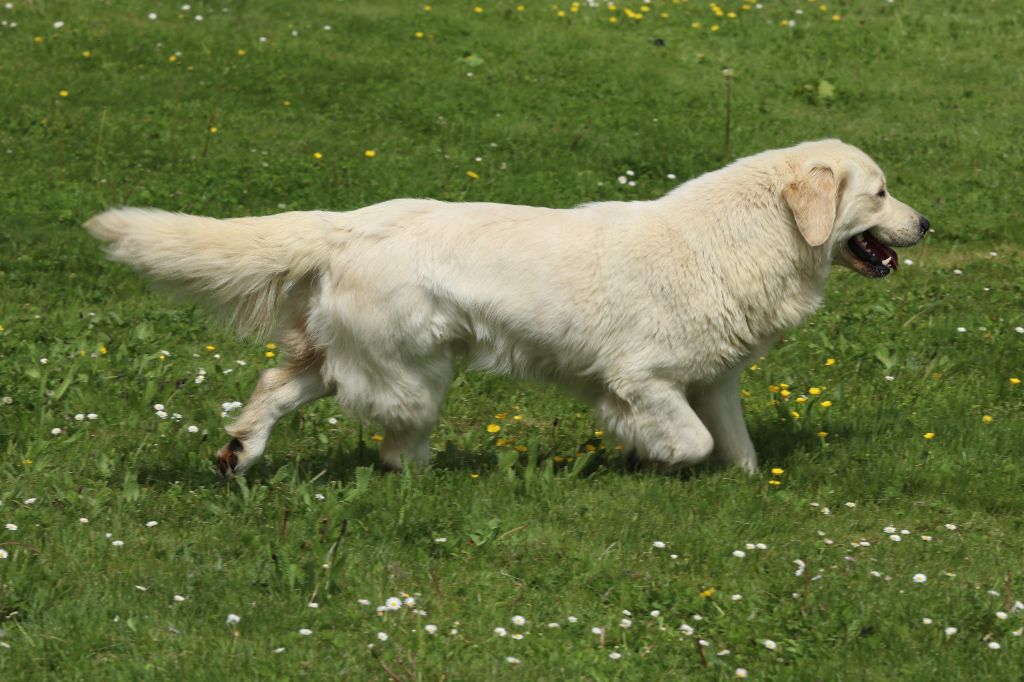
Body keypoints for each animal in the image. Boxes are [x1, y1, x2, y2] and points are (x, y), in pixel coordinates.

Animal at [86, 139, 929, 473]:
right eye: (880, 192)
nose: (926, 224)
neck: (752, 234)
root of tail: (350, 219)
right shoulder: (643, 377)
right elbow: (688, 442)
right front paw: (649, 455)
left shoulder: (716, 377)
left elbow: (738, 448)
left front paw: (746, 485)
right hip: (412, 371)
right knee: (397, 442)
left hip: (352, 353)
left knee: (273, 387)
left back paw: (239, 453)